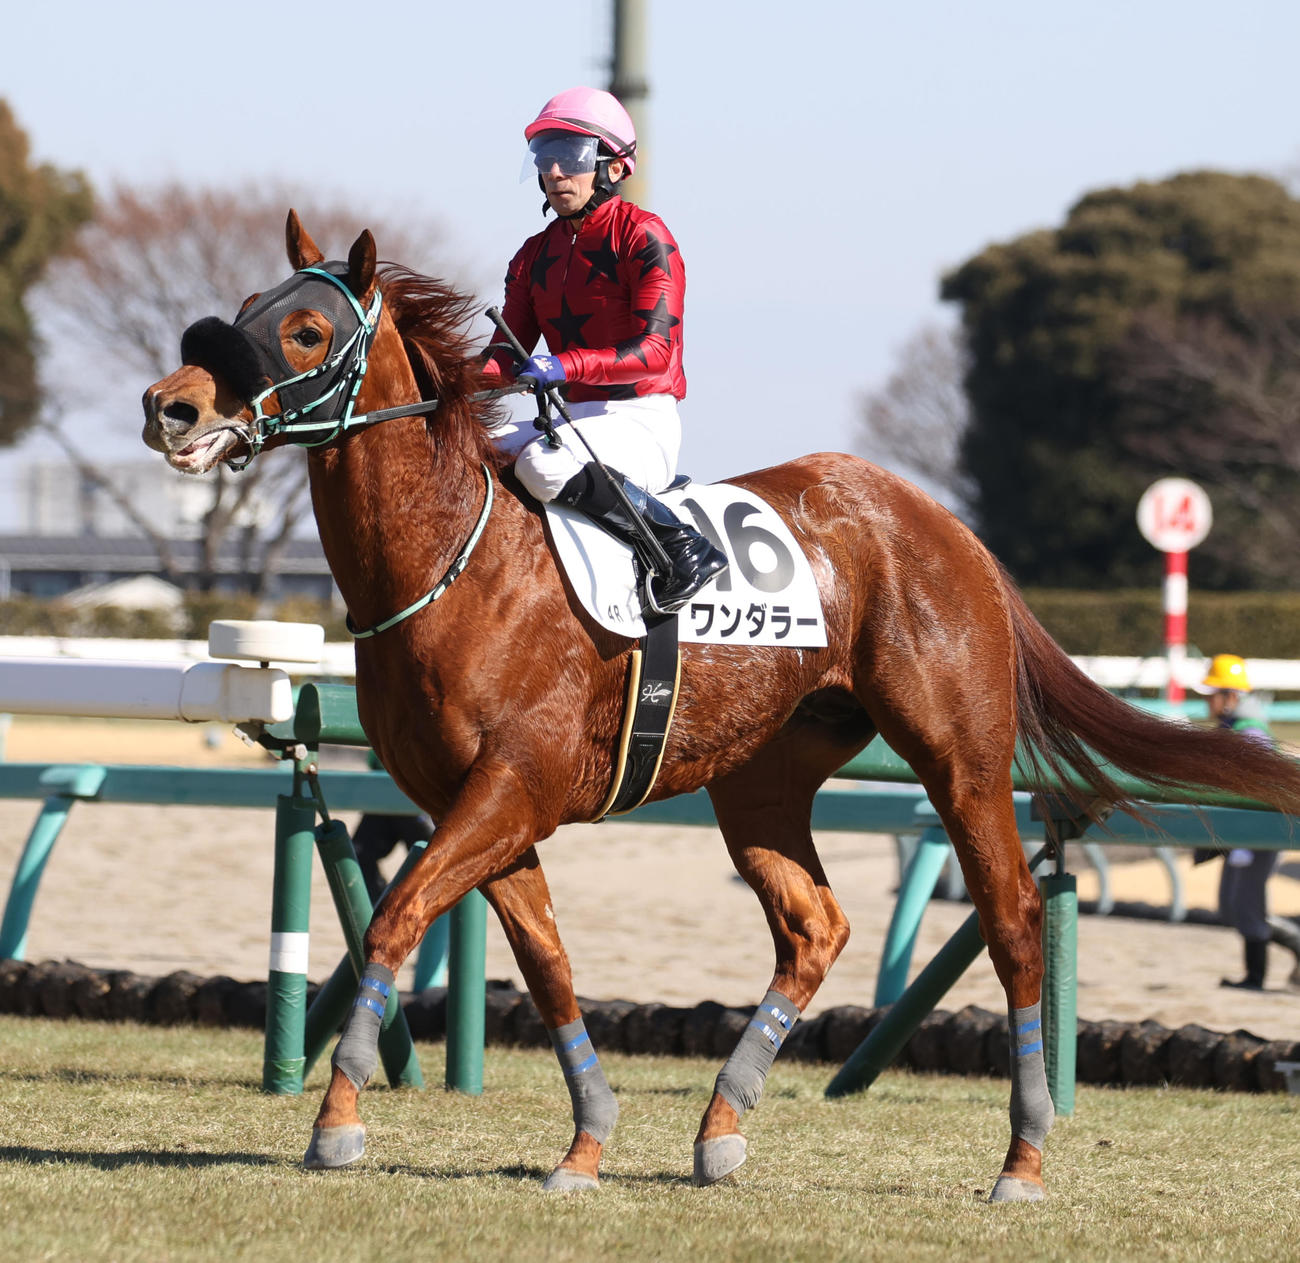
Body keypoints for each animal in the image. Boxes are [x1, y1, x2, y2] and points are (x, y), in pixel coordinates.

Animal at [142, 212, 1300, 1200]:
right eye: (244, 304)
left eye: (304, 329)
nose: (172, 406)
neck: (451, 565)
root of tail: (948, 528)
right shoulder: (482, 808)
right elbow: (547, 965)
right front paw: (586, 1143)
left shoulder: (510, 790)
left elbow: (394, 920)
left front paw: (335, 1123)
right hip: (762, 780)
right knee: (815, 925)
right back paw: (721, 1128)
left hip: (960, 759)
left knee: (1013, 918)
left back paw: (1022, 1159)